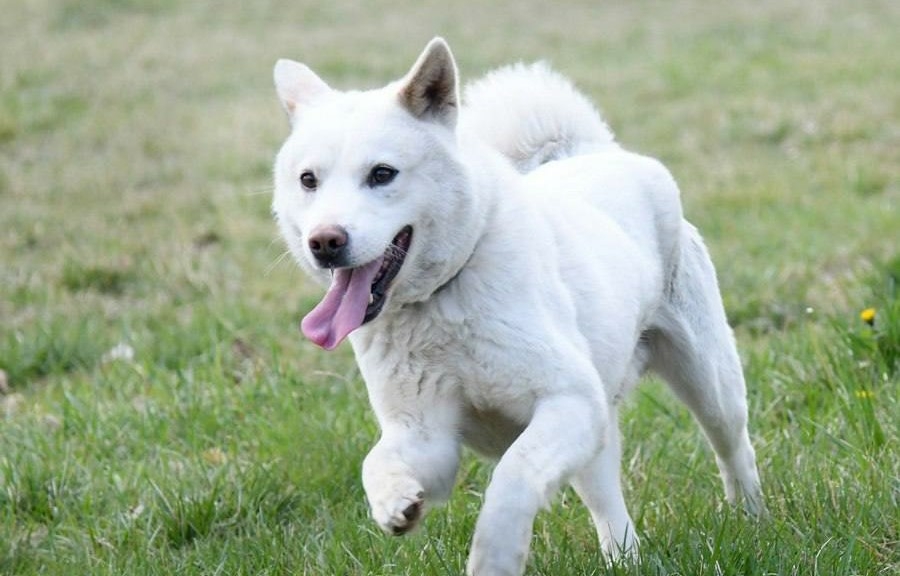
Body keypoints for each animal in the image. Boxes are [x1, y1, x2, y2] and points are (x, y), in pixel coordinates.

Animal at [270, 39, 764, 576]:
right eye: (308, 180)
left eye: (382, 174)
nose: (325, 242)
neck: (442, 300)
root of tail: (593, 152)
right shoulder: (427, 437)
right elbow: (376, 463)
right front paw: (394, 503)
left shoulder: (567, 402)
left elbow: (512, 479)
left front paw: (495, 558)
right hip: (598, 434)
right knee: (607, 502)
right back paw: (625, 558)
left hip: (707, 382)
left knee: (733, 446)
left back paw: (751, 518)